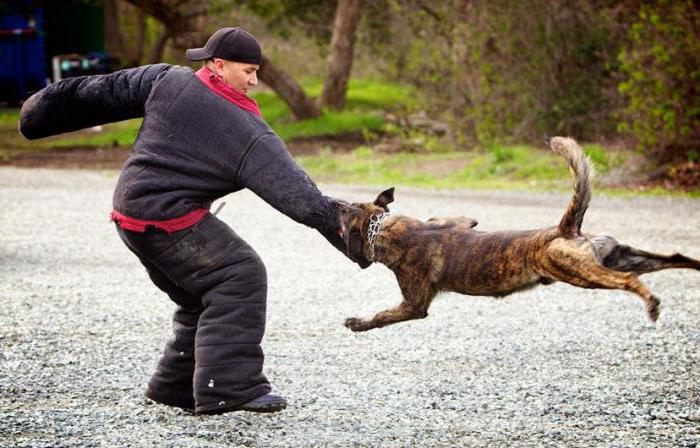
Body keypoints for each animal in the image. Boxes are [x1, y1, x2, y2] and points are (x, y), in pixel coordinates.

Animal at [334, 137, 700, 332]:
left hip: (583, 272)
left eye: (344, 213)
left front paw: (358, 322)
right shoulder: (461, 220)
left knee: (629, 282)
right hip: (624, 256)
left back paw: (651, 304)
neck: (382, 226)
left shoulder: (414, 304)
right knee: (675, 257)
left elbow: (382, 316)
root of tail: (564, 229)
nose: (334, 202)